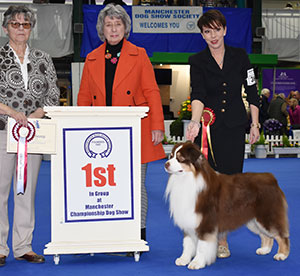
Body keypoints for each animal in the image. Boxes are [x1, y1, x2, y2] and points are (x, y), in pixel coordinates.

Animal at [165, 142, 290, 270]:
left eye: (180, 158)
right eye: (171, 156)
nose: (166, 164)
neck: (188, 180)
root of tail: (271, 178)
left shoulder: (206, 223)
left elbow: (202, 246)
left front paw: (197, 263)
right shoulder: (189, 220)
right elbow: (187, 244)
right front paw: (183, 259)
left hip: (267, 216)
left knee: (282, 235)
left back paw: (281, 255)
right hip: (254, 221)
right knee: (267, 236)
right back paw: (264, 249)